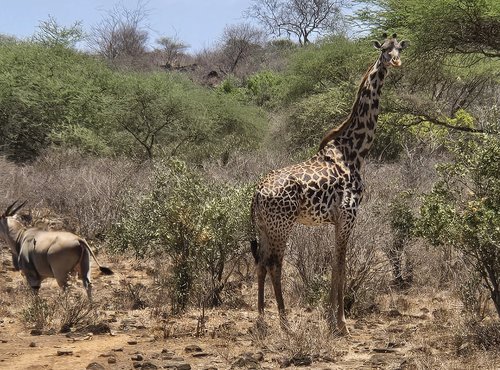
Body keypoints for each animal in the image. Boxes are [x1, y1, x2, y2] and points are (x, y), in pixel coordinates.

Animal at [252, 33, 408, 334]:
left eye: (398, 48)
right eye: (384, 50)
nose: (395, 62)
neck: (356, 151)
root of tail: (256, 193)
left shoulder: (337, 219)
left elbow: (335, 264)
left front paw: (329, 318)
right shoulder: (348, 215)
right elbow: (342, 263)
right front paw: (342, 323)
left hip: (265, 227)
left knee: (262, 264)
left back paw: (262, 319)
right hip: (282, 225)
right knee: (276, 264)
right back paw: (285, 323)